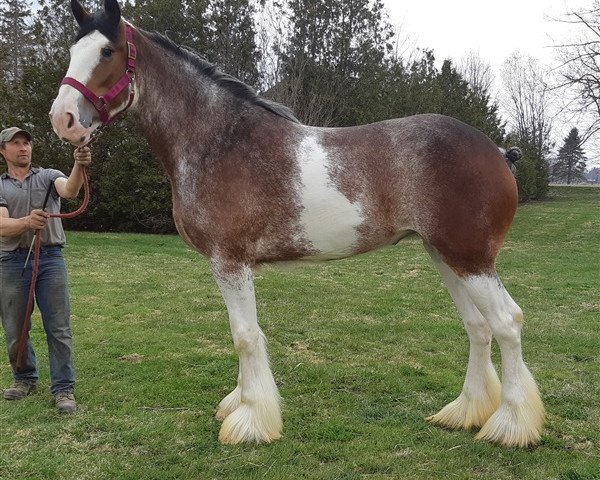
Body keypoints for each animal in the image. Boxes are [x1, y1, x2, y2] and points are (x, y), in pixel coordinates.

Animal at [49, 0, 540, 450]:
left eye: (107, 52)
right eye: (73, 50)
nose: (63, 119)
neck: (218, 142)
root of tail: (497, 152)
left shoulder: (229, 262)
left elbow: (245, 337)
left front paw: (250, 421)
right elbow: (247, 335)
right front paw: (240, 404)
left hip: (470, 258)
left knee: (506, 322)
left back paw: (511, 426)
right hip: (444, 255)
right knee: (478, 328)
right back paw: (465, 412)